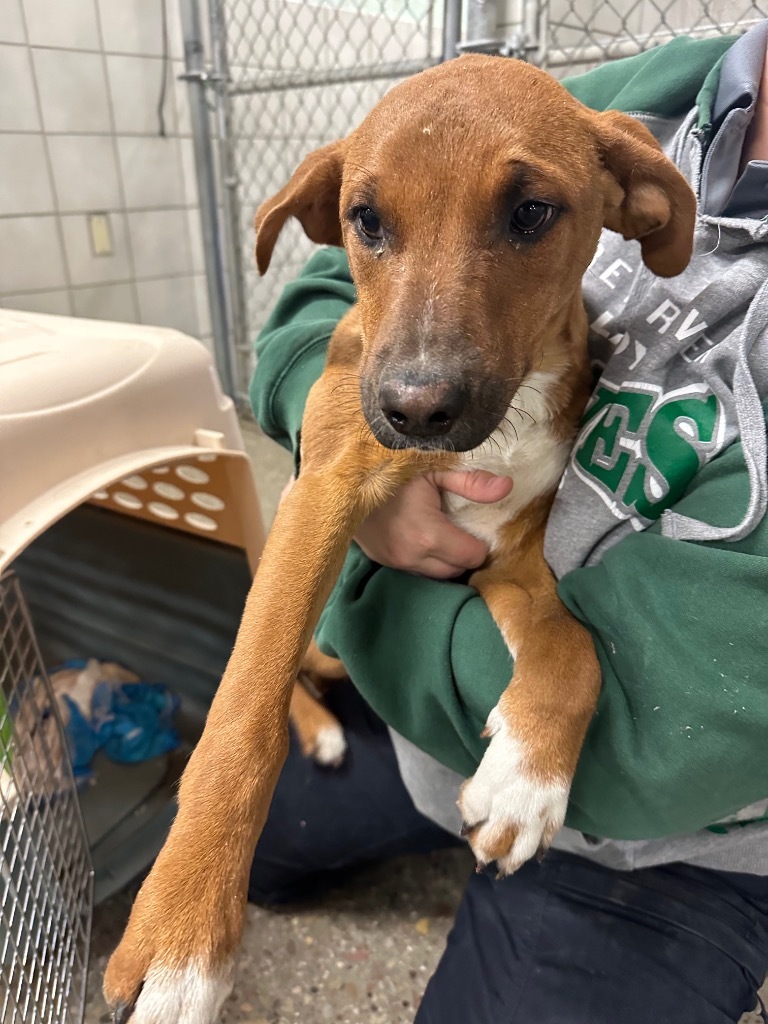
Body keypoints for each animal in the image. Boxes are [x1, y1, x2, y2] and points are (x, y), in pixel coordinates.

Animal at [102, 58, 696, 1024]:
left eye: (532, 212)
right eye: (365, 220)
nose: (416, 410)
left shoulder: (509, 557)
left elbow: (574, 651)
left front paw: (525, 782)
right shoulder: (320, 496)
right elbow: (243, 708)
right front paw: (183, 935)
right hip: (320, 619)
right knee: (291, 673)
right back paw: (322, 734)